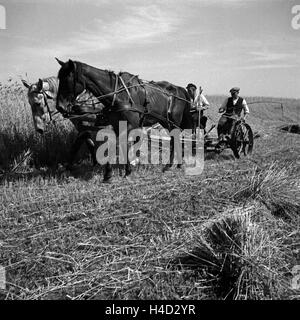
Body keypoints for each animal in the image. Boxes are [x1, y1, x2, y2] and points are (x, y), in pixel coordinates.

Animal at [55, 58, 193, 181]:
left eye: (67, 79)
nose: (60, 106)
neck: (119, 95)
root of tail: (180, 89)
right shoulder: (117, 125)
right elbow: (119, 145)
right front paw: (121, 171)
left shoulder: (130, 125)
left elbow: (115, 145)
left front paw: (113, 172)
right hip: (166, 122)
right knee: (176, 140)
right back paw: (176, 164)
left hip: (173, 122)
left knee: (175, 140)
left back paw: (169, 165)